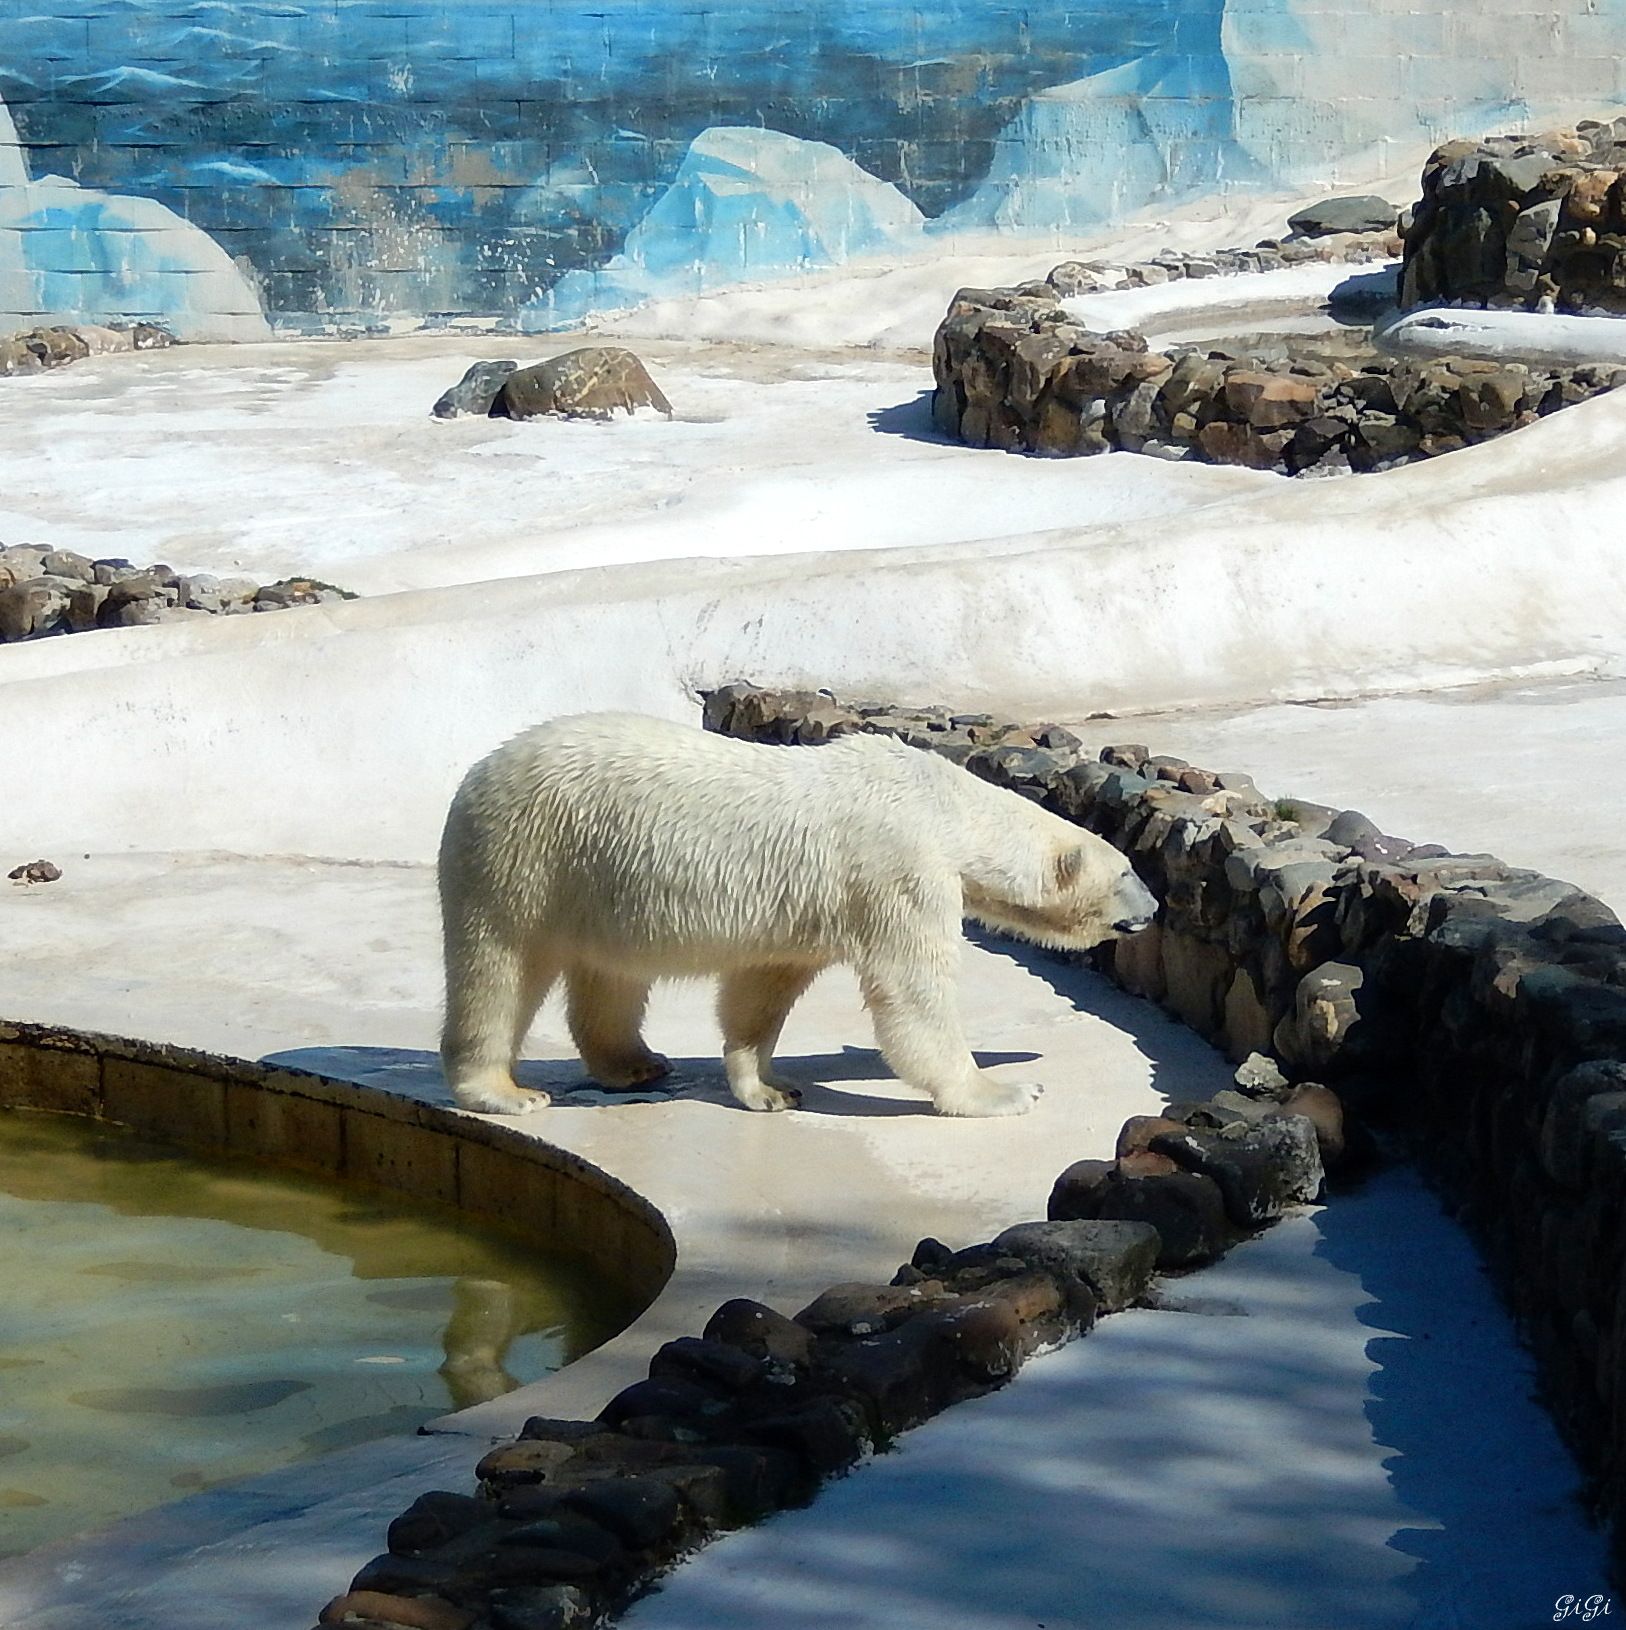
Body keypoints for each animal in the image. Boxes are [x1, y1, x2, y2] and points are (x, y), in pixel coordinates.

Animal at [439, 713, 1166, 1121]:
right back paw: (505, 1091)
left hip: (599, 881)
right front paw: (1005, 1092)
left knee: (611, 975)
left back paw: (635, 1064)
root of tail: (479, 770)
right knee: (498, 971)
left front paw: (769, 1087)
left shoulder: (813, 903)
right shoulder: (897, 871)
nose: (1156, 909)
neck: (941, 804)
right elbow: (914, 991)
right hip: (525, 858)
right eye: (1127, 873)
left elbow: (763, 988)